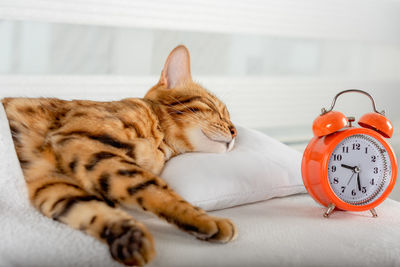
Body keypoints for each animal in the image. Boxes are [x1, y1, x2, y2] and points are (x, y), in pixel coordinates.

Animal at [1, 45, 236, 266]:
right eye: (214, 108)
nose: (235, 131)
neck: (160, 142)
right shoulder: (83, 143)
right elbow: (153, 188)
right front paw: (207, 219)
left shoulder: (49, 181)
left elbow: (89, 209)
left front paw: (129, 237)